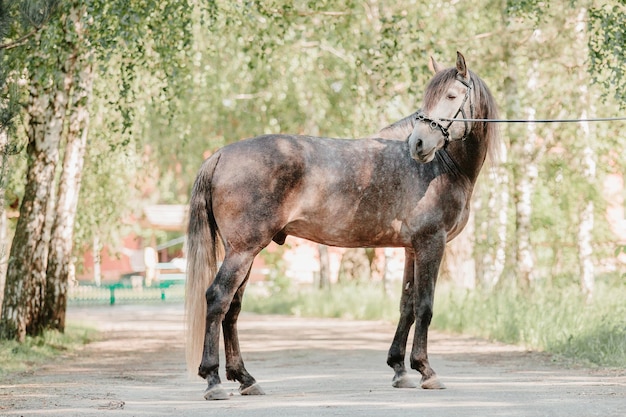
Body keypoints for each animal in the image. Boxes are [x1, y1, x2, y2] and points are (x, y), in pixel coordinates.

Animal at [184, 52, 498, 400]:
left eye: (452, 96)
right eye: (429, 98)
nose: (418, 144)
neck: (442, 168)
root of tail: (221, 155)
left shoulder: (411, 249)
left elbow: (407, 305)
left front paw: (399, 369)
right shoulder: (432, 243)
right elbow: (425, 307)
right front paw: (426, 370)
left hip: (244, 252)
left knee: (233, 308)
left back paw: (245, 378)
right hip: (243, 250)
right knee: (218, 299)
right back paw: (213, 379)